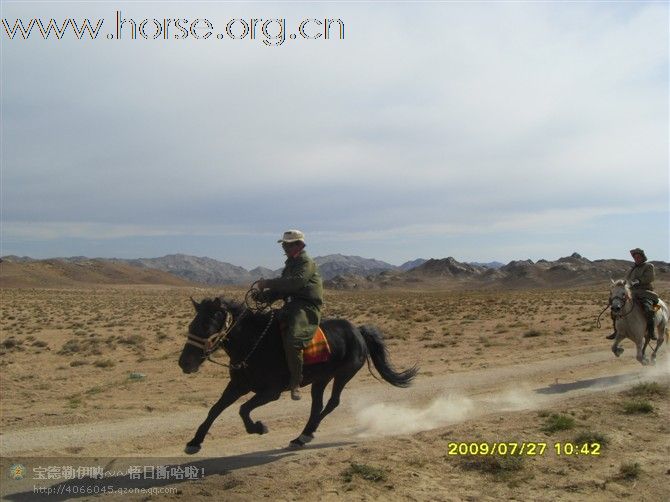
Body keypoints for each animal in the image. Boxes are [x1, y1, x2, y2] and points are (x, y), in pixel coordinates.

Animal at [178, 296, 420, 452]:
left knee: (332, 403)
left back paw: (305, 434)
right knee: (318, 404)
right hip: (321, 379)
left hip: (343, 374)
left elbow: (243, 409)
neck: (255, 343)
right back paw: (303, 436)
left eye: (206, 326)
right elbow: (215, 409)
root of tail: (358, 331)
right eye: (191, 325)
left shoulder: (271, 392)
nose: (184, 363)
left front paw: (258, 427)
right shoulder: (238, 385)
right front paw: (194, 442)